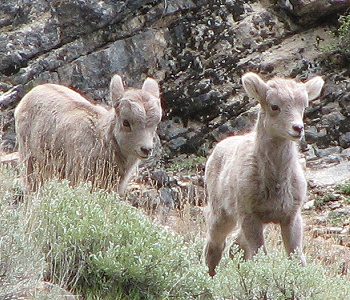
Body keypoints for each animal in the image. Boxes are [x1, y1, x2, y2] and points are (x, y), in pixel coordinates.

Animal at [204, 71, 324, 276]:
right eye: (274, 106)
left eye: (304, 106)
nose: (297, 128)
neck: (274, 184)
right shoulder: (250, 216)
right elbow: (261, 257)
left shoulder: (291, 217)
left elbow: (297, 260)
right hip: (222, 214)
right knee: (214, 246)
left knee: (236, 247)